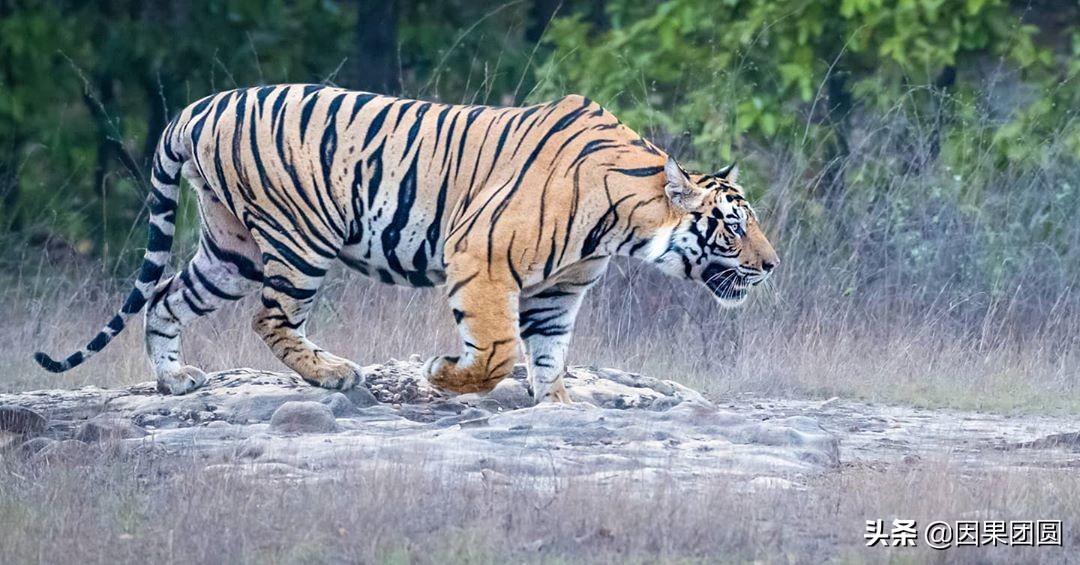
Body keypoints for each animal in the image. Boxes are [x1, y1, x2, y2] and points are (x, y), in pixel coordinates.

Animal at [33, 84, 777, 404]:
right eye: (735, 225)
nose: (771, 265)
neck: (623, 225)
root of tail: (198, 106)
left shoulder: (558, 291)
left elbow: (549, 355)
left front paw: (559, 405)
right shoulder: (482, 258)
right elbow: (499, 350)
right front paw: (444, 377)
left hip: (230, 248)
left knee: (165, 299)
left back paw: (175, 380)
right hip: (300, 239)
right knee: (270, 317)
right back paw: (334, 373)